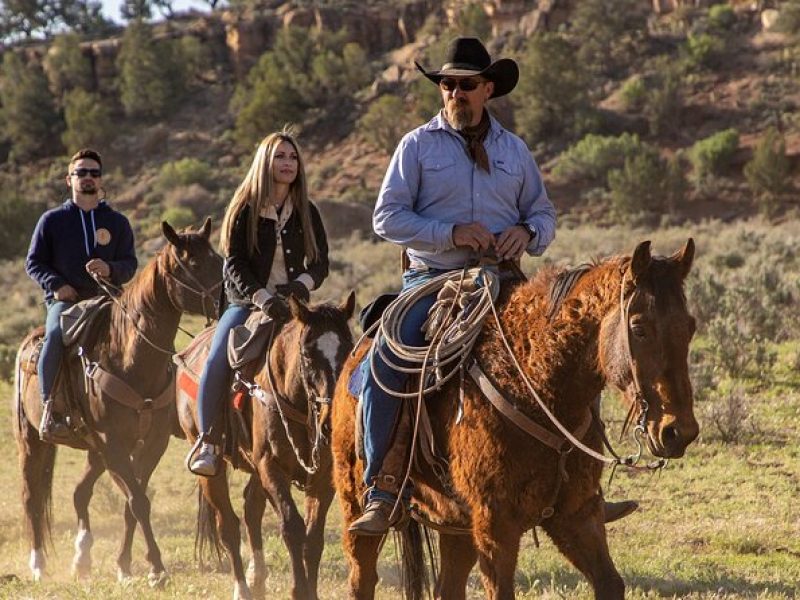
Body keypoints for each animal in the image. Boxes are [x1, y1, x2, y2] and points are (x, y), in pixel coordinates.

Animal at [12, 218, 223, 584]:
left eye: (217, 257)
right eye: (195, 263)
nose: (228, 297)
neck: (129, 357)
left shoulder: (151, 444)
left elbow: (131, 503)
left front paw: (125, 565)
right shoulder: (114, 443)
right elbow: (138, 501)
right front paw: (157, 568)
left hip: (94, 450)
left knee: (79, 492)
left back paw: (82, 558)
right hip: (33, 440)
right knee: (31, 497)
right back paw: (38, 563)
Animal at [181, 292, 356, 600]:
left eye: (347, 350)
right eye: (308, 354)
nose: (332, 421)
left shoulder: (323, 478)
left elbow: (314, 538)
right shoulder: (271, 468)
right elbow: (292, 527)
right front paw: (299, 589)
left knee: (251, 510)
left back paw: (257, 580)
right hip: (210, 470)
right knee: (228, 526)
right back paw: (242, 589)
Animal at [332, 240, 700, 600]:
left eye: (690, 326)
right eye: (638, 328)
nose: (678, 431)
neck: (534, 383)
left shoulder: (578, 515)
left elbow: (610, 583)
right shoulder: (497, 524)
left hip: (457, 525)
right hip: (356, 505)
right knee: (361, 578)